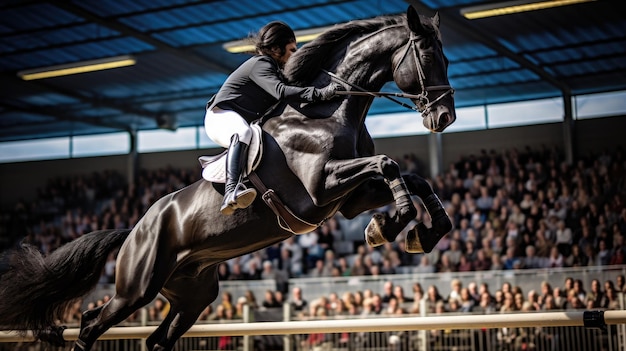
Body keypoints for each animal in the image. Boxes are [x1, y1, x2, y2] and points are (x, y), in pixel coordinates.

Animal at [2, 6, 456, 351]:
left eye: (447, 60)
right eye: (427, 58)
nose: (445, 117)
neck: (327, 114)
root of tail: (134, 229)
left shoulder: (348, 201)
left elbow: (414, 178)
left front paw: (419, 232)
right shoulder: (320, 190)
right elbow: (390, 165)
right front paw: (392, 226)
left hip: (193, 294)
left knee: (157, 340)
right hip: (138, 287)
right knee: (92, 322)